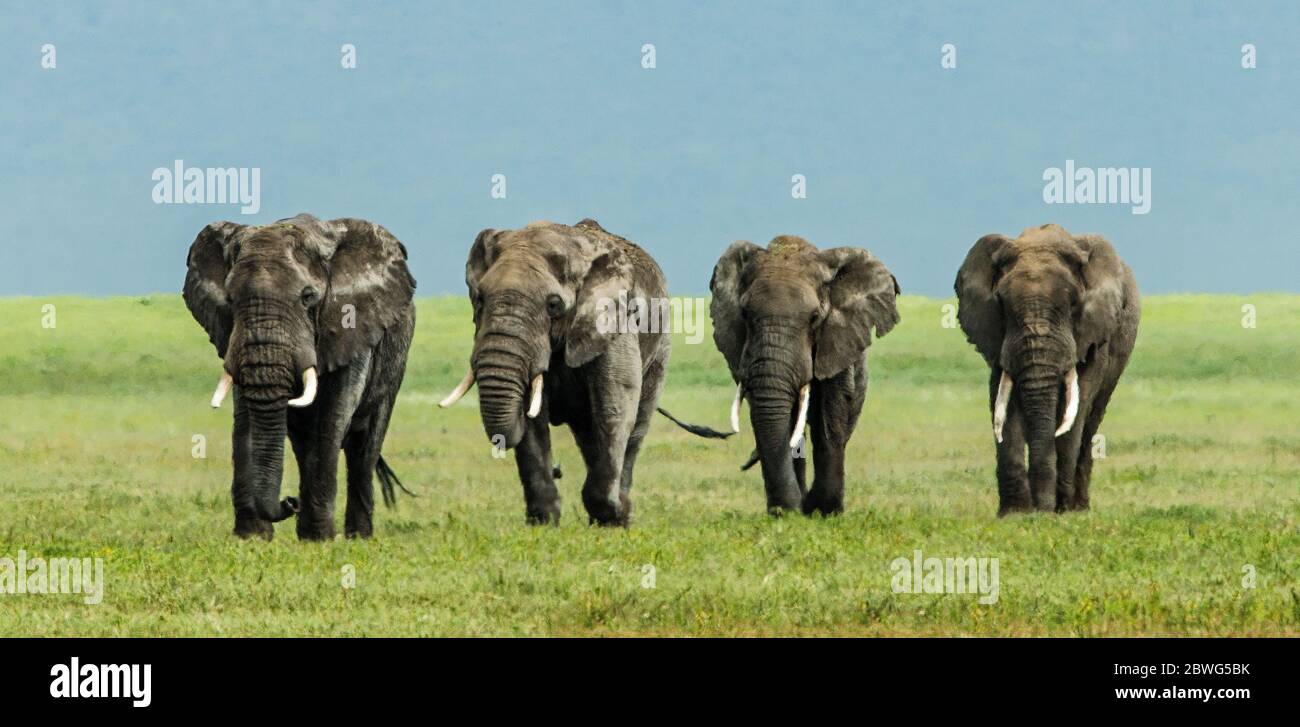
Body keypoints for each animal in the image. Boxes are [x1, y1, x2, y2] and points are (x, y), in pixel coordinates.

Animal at [183, 211, 413, 541]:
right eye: (230, 299)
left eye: (307, 297)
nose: (288, 501)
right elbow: (246, 418)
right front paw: (253, 538)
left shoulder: (352, 324)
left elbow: (333, 415)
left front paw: (320, 539)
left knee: (365, 446)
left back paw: (358, 536)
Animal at [439, 218, 686, 525]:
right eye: (480, 299)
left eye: (554, 305)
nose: (558, 470)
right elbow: (533, 419)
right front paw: (543, 523)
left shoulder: (615, 322)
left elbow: (614, 406)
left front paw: (615, 517)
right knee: (587, 433)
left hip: (661, 347)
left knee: (636, 426)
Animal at [707, 236, 899, 515]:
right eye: (744, 314)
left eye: (815, 317)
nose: (784, 509)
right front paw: (789, 512)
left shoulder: (838, 339)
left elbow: (831, 411)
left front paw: (824, 510)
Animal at [956, 224, 1138, 515]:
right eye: (1002, 304)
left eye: (1073, 304)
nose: (1043, 509)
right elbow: (1003, 403)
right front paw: (1015, 514)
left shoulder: (1095, 335)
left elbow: (1077, 405)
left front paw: (1059, 510)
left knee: (1091, 423)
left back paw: (1078, 508)